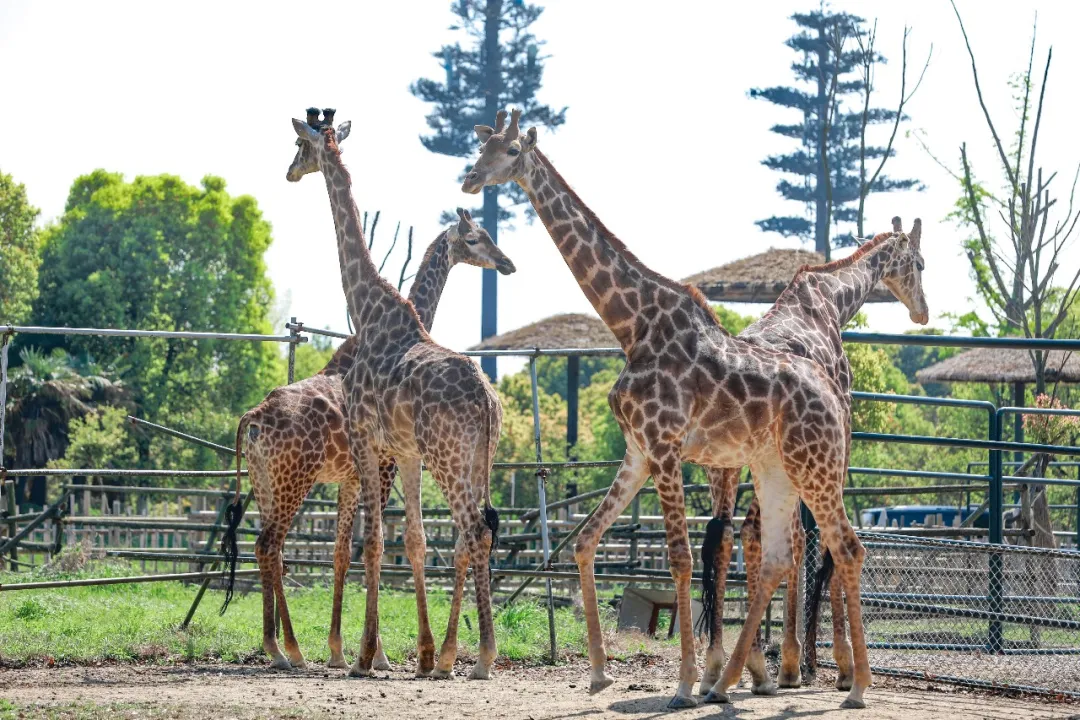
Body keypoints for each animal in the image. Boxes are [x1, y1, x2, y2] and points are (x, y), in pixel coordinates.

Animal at [218, 201, 514, 669]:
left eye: (487, 234)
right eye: (473, 238)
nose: (505, 263)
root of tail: (253, 417)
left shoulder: (350, 479)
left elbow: (343, 553)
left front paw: (343, 651)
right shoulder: (384, 465)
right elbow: (378, 546)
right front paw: (377, 656)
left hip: (264, 482)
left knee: (272, 550)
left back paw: (285, 649)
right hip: (293, 481)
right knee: (270, 545)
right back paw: (288, 650)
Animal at [287, 106, 505, 682]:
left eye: (299, 147)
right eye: (476, 239)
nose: (289, 172)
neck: (370, 310)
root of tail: (486, 400)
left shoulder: (373, 444)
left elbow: (377, 543)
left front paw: (370, 655)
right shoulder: (402, 454)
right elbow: (412, 540)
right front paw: (420, 654)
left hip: (449, 459)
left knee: (473, 532)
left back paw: (476, 657)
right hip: (471, 459)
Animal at [464, 108, 876, 708]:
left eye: (512, 150)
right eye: (483, 146)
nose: (470, 179)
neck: (633, 325)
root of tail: (837, 397)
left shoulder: (664, 447)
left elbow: (680, 558)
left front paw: (682, 682)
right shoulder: (637, 451)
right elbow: (585, 541)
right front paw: (600, 672)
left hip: (815, 466)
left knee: (843, 546)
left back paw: (853, 685)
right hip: (778, 470)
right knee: (782, 554)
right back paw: (736, 681)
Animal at [695, 218, 933, 699]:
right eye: (920, 262)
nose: (923, 312)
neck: (832, 302)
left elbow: (797, 540)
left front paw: (792, 661)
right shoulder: (843, 432)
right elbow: (824, 544)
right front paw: (834, 664)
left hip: (727, 465)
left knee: (727, 536)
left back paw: (719, 667)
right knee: (754, 534)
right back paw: (751, 666)